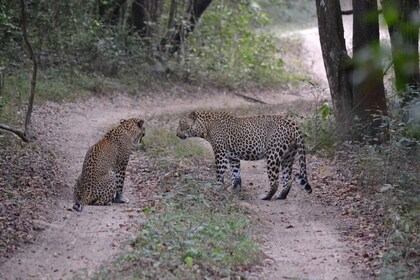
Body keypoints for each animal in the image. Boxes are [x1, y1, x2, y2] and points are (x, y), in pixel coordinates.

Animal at [175, 110, 312, 200]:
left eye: (182, 124)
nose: (176, 134)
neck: (205, 127)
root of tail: (292, 123)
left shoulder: (220, 153)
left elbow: (219, 172)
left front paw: (217, 188)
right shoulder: (233, 157)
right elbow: (235, 174)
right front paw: (235, 189)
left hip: (273, 155)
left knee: (275, 181)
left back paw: (266, 196)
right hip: (288, 156)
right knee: (287, 179)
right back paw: (281, 196)